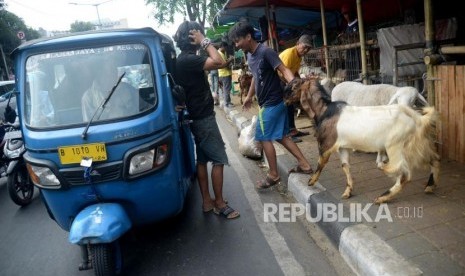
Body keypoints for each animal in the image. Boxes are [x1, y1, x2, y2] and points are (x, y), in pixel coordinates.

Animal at [282, 77, 438, 203]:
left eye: (295, 86)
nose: (284, 99)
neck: (325, 111)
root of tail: (417, 118)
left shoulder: (326, 144)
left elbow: (321, 162)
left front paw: (311, 181)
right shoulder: (342, 146)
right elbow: (345, 166)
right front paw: (348, 191)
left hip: (396, 147)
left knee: (405, 174)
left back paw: (382, 196)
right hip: (418, 144)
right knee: (433, 159)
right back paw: (430, 186)